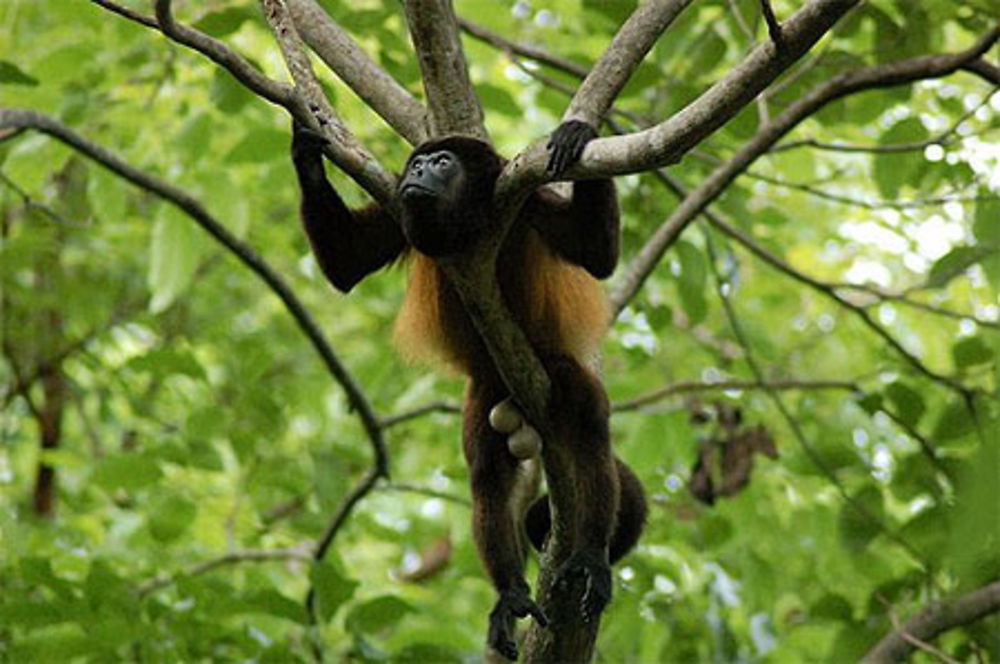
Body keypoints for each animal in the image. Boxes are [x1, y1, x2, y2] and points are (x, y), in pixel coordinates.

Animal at [290, 120, 648, 660]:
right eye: (418, 164)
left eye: (443, 163)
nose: (417, 171)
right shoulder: (401, 210)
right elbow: (347, 263)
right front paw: (305, 151)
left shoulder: (525, 201)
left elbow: (597, 254)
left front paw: (580, 131)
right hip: (485, 390)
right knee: (487, 476)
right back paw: (510, 592)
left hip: (558, 371)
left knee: (587, 431)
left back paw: (588, 555)